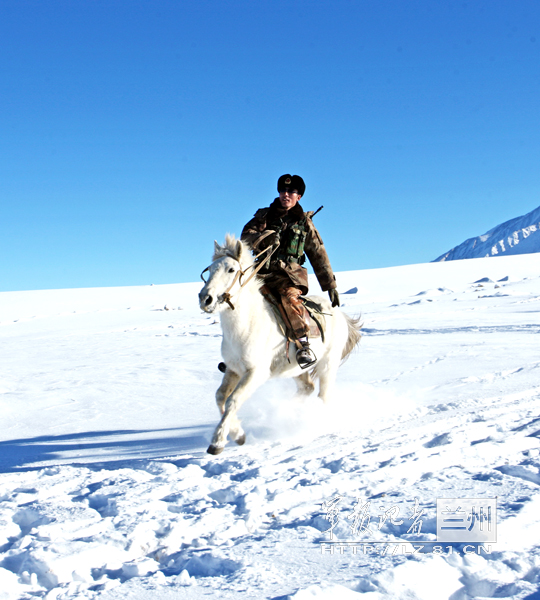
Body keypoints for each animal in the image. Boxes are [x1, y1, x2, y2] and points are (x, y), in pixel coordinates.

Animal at [197, 234, 358, 454]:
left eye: (231, 269)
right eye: (211, 269)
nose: (205, 299)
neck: (245, 325)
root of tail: (340, 314)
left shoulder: (256, 373)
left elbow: (233, 400)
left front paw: (217, 442)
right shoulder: (233, 369)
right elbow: (221, 397)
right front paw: (238, 434)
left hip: (328, 365)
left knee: (323, 396)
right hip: (298, 369)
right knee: (307, 388)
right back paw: (286, 413)